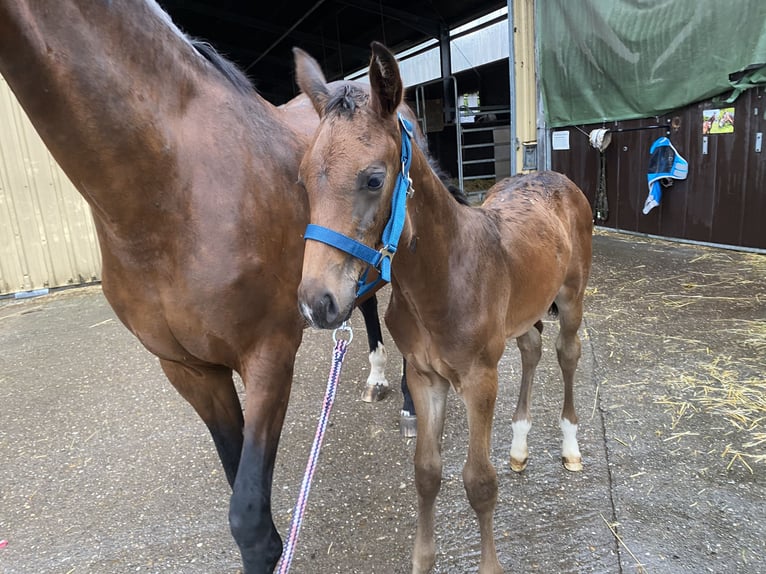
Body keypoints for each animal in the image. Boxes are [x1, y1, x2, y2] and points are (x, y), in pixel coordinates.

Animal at [294, 46, 592, 574]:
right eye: (304, 179)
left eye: (374, 178)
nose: (317, 304)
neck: (442, 277)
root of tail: (551, 175)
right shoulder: (424, 376)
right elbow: (427, 472)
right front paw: (422, 559)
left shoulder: (479, 379)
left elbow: (479, 482)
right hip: (524, 311)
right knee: (532, 350)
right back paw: (519, 446)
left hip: (572, 300)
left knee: (566, 354)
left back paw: (570, 446)